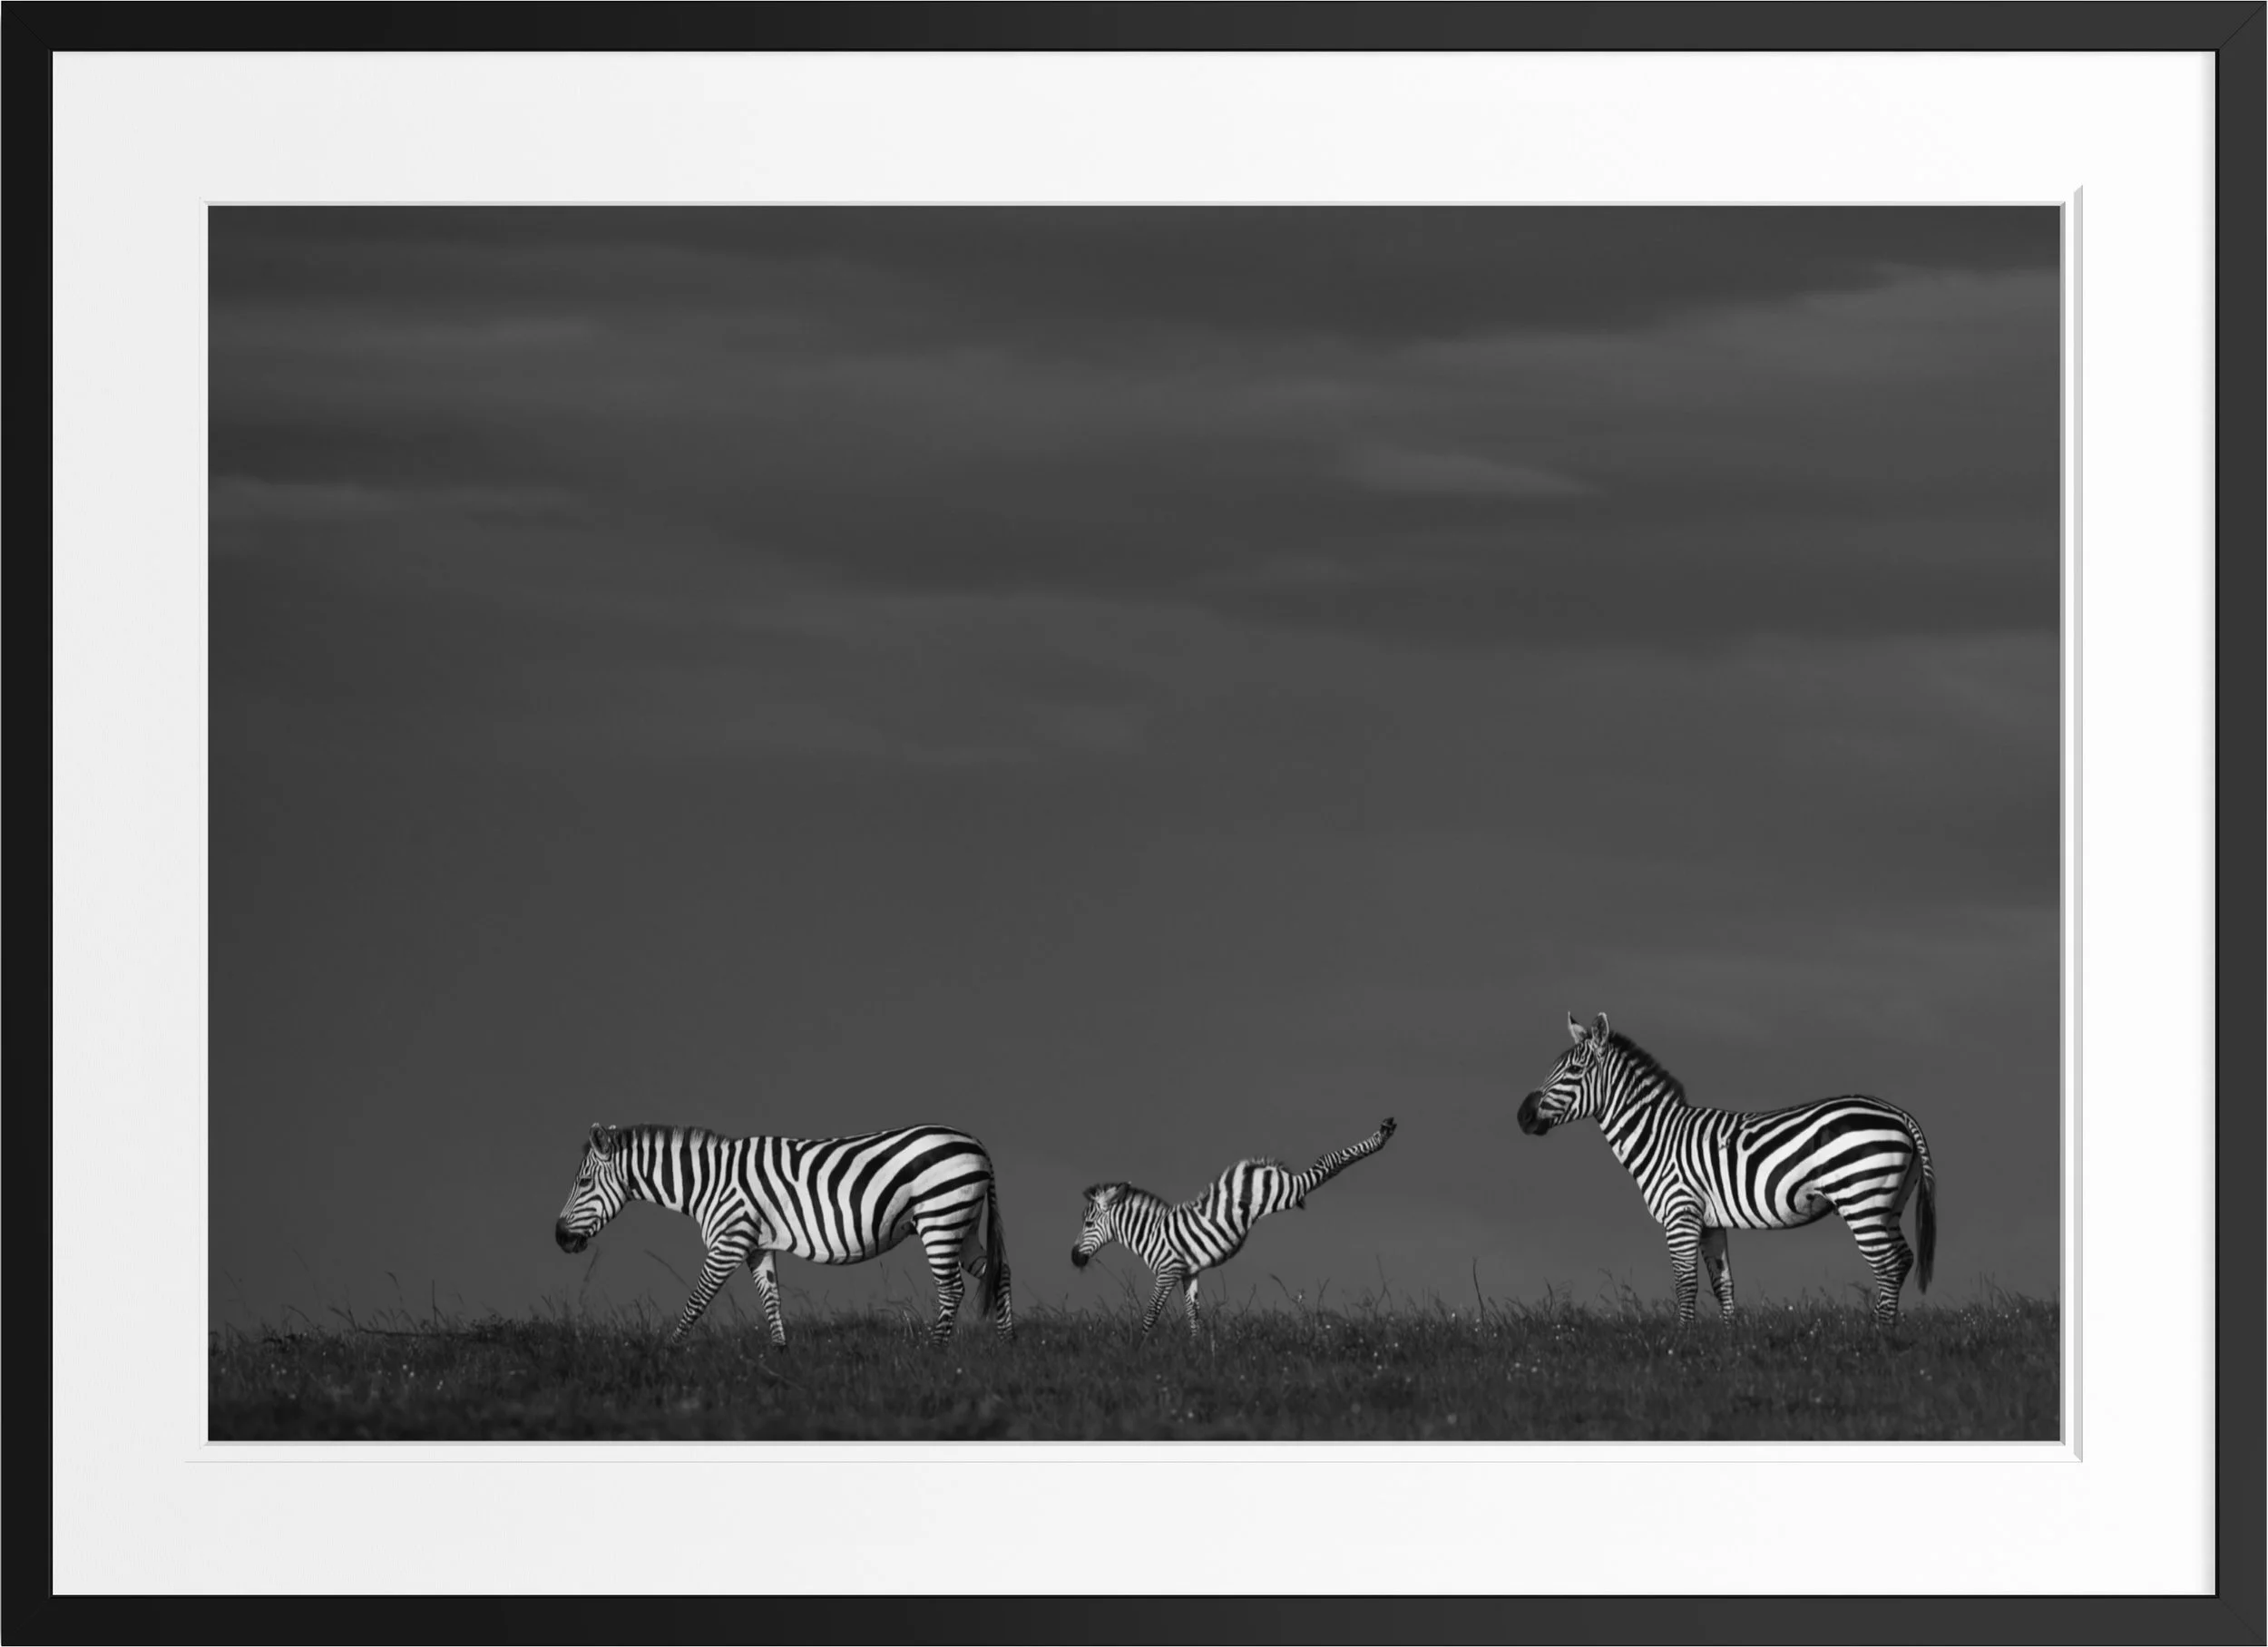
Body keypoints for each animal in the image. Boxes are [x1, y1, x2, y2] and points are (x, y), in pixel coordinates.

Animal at [553, 1122, 1013, 1346]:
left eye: (583, 1183)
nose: (559, 1237)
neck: (709, 1182)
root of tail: (977, 1144)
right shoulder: (757, 1246)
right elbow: (771, 1301)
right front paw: (780, 1353)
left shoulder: (729, 1240)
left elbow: (696, 1300)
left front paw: (669, 1350)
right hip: (962, 1223)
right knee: (999, 1273)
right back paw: (1006, 1345)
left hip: (940, 1217)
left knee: (952, 1289)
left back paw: (935, 1351)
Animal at [1071, 1117, 1397, 1335]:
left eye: (1088, 1223)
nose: (1073, 1258)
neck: (1151, 1234)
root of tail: (1254, 1167)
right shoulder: (1189, 1272)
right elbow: (1193, 1315)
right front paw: (1198, 1352)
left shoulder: (1167, 1271)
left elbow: (1151, 1313)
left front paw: (1141, 1349)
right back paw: (1384, 1133)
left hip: (1286, 1192)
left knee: (1325, 1162)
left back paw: (1382, 1135)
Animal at [1517, 1013, 1936, 1327]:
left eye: (1574, 1070)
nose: (1522, 1115)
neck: (1658, 1136)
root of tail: (1897, 1112)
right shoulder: (1709, 1221)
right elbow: (1723, 1284)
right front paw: (1728, 1342)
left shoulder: (1680, 1213)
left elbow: (1685, 1284)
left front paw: (1681, 1342)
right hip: (1888, 1203)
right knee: (1903, 1259)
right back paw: (1886, 1328)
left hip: (1860, 1199)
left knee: (1887, 1265)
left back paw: (1877, 1335)